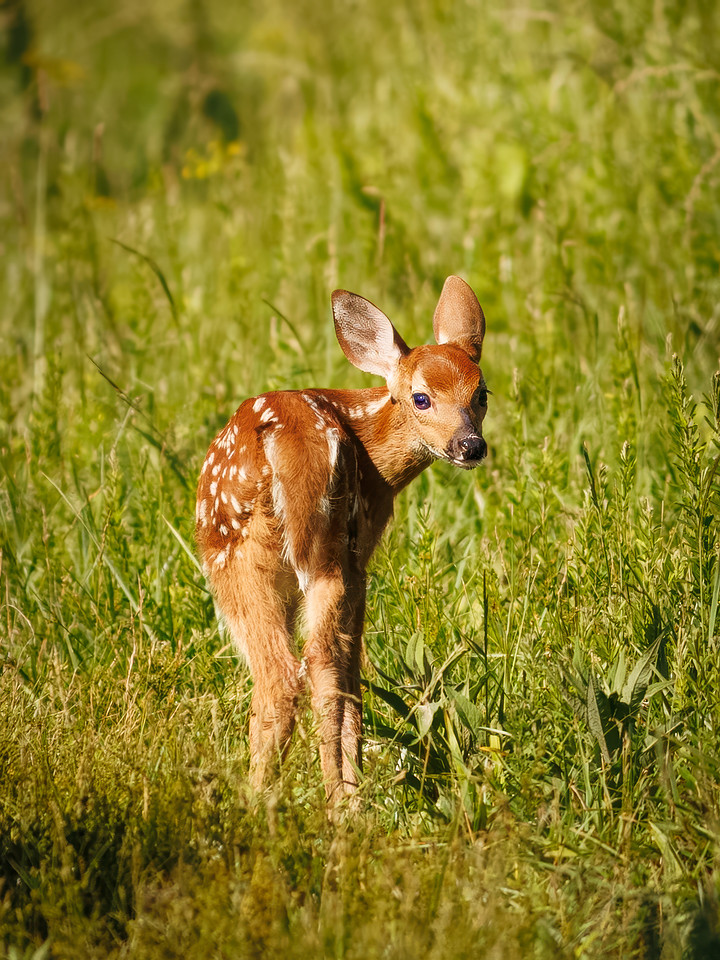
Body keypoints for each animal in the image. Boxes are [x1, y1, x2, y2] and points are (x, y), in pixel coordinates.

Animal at [195, 276, 488, 805]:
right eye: (421, 398)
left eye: (481, 393)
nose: (470, 445)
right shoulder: (358, 553)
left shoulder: (356, 556)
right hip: (308, 558)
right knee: (319, 665)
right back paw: (339, 799)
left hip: (254, 560)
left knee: (295, 669)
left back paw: (289, 799)